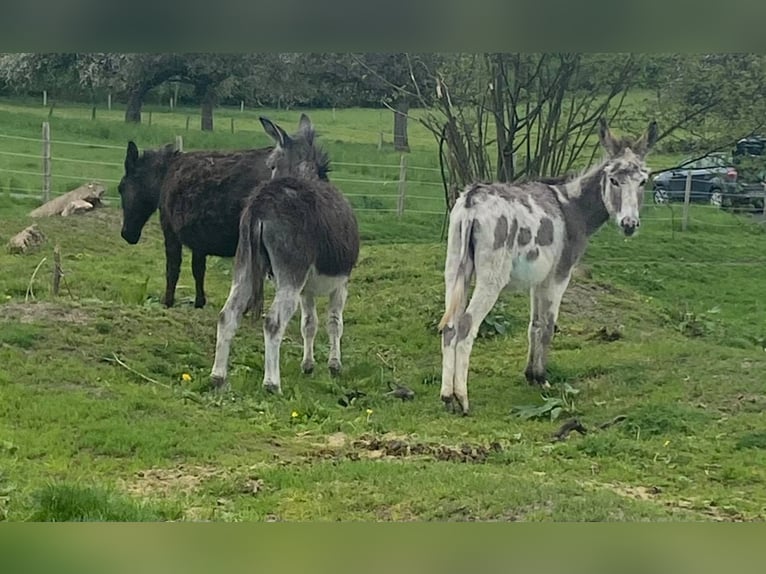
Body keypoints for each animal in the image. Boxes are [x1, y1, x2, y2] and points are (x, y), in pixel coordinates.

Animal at [210, 115, 364, 394]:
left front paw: (308, 365)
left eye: (271, 165)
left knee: (227, 315)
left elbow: (309, 324)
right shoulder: (341, 283)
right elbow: (334, 322)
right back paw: (272, 383)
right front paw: (334, 366)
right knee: (273, 322)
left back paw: (218, 377)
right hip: (290, 275)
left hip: (244, 265)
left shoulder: (307, 289)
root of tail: (260, 206)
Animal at [438, 118, 660, 414]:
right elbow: (548, 325)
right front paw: (542, 378)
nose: (629, 225)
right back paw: (462, 398)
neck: (572, 207)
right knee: (465, 326)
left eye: (643, 181)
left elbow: (534, 325)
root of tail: (471, 200)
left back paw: (447, 396)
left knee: (449, 326)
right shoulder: (559, 274)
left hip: (455, 269)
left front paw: (531, 375)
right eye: (614, 180)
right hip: (491, 279)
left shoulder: (539, 279)